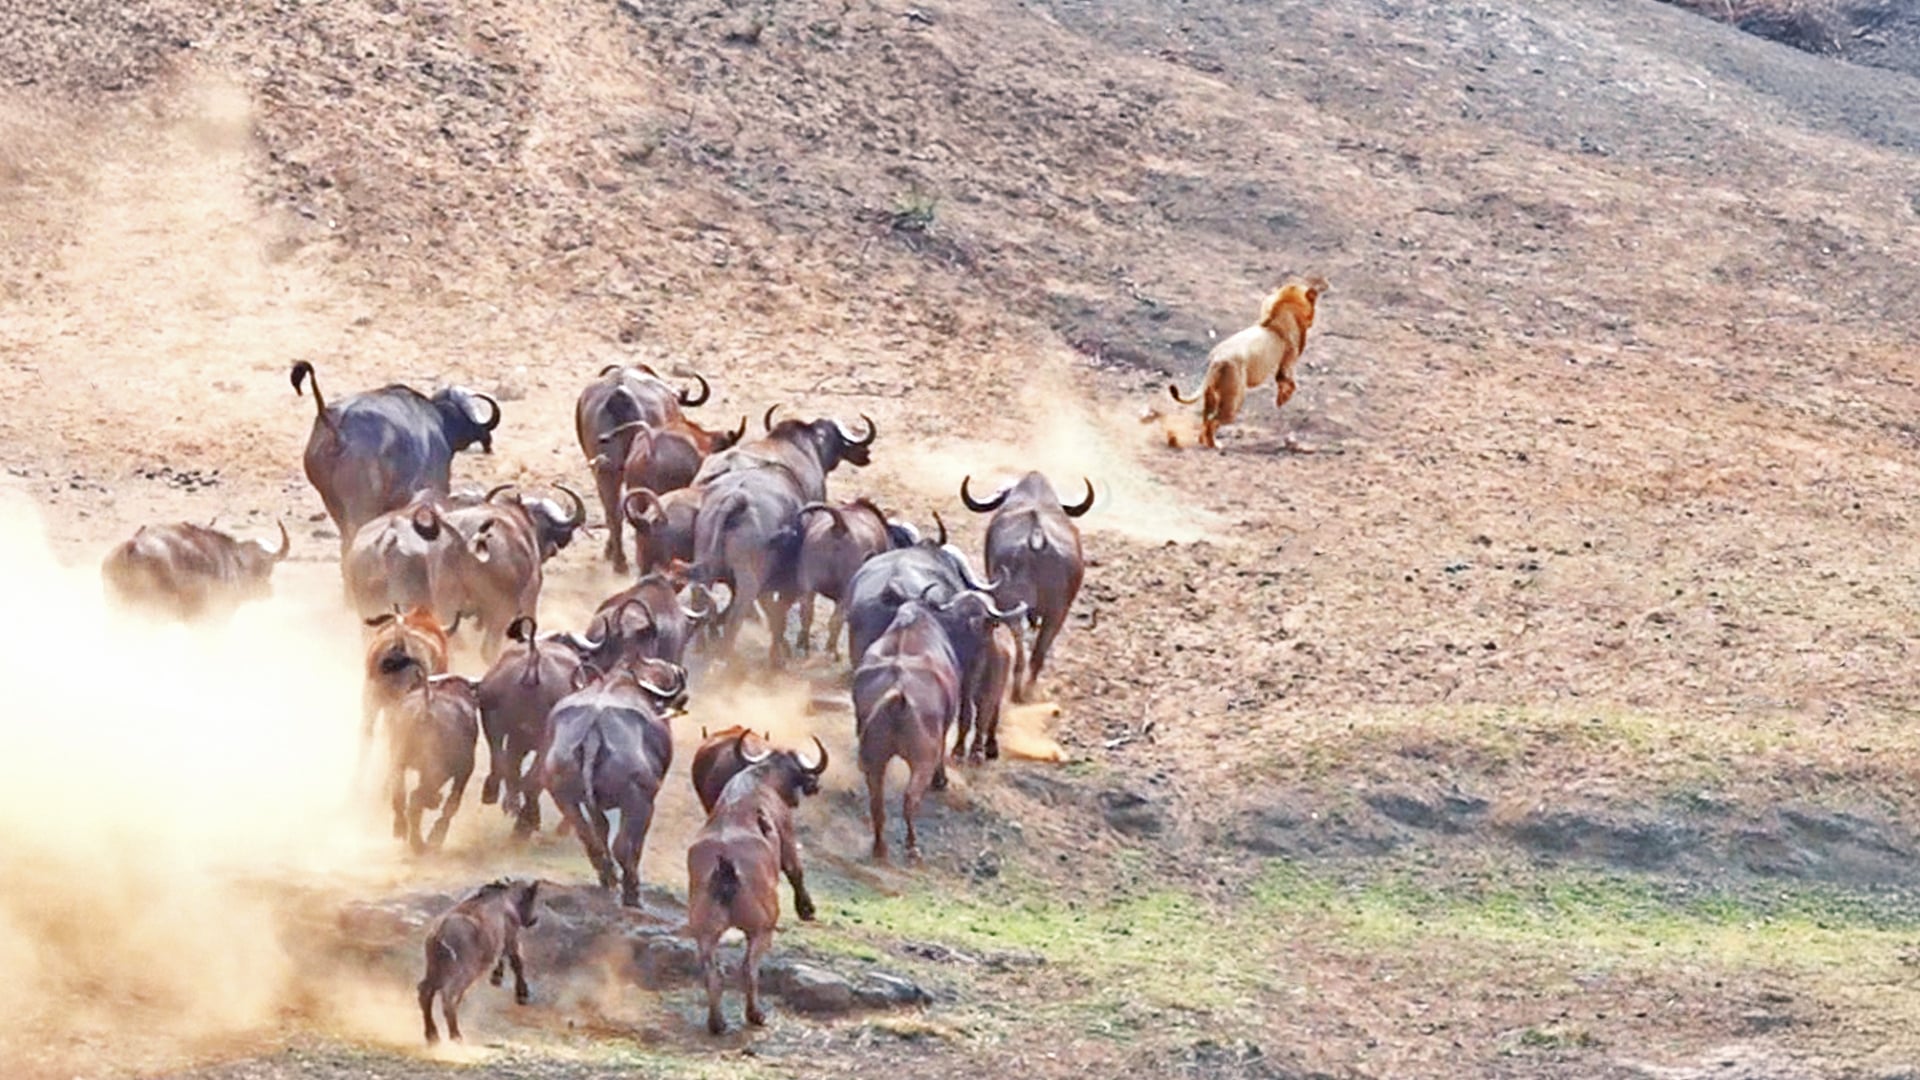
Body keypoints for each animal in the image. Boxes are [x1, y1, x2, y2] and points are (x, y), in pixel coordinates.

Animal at [1168, 276, 1327, 449]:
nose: (1312, 321)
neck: (1282, 310)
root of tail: (1216, 360)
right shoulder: (1288, 359)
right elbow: (1287, 381)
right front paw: (1282, 399)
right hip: (1234, 399)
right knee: (1213, 421)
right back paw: (1214, 445)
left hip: (1210, 395)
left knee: (1205, 419)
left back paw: (1204, 441)